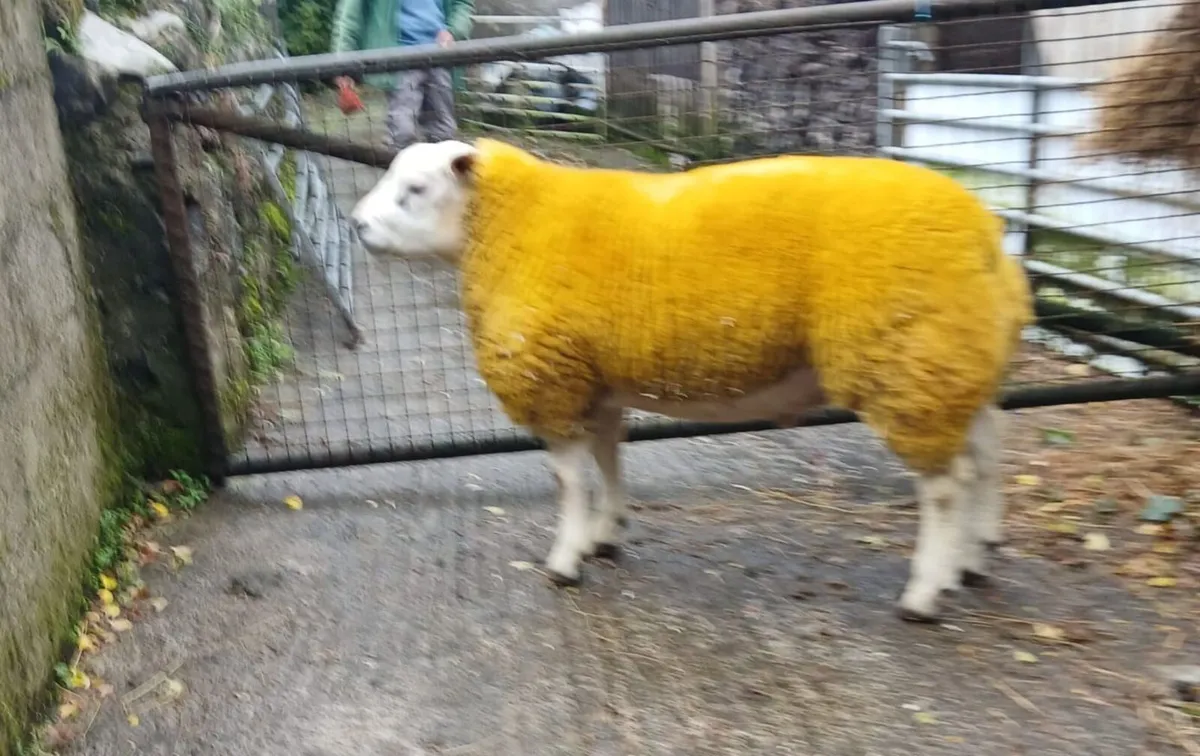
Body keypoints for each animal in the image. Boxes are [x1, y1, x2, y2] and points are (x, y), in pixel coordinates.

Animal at [351, 138, 1034, 621]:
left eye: (414, 188)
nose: (356, 225)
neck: (506, 227)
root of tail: (986, 235)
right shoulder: (597, 382)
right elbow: (608, 460)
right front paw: (607, 535)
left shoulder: (551, 378)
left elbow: (569, 480)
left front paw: (566, 561)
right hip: (953, 362)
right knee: (987, 453)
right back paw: (973, 559)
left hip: (906, 365)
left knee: (944, 486)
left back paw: (925, 593)